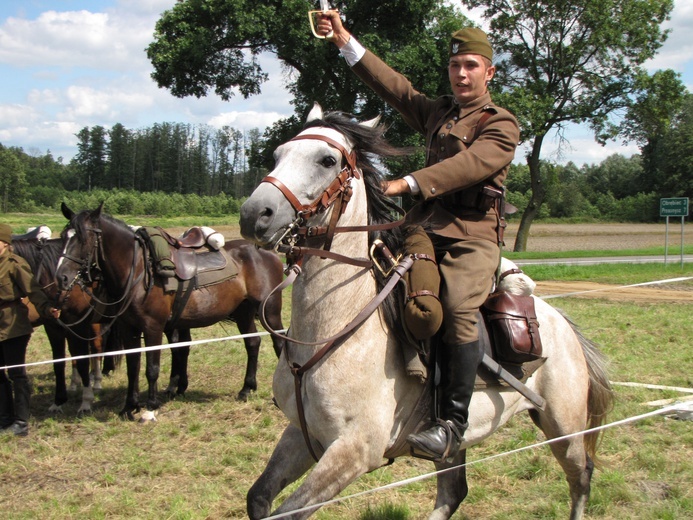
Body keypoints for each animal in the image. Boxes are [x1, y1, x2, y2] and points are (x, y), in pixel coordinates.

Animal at [53, 203, 286, 418]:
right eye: (64, 237)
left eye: (83, 238)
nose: (61, 277)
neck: (138, 270)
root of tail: (268, 254)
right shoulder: (129, 329)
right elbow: (133, 367)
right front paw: (129, 407)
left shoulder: (153, 328)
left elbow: (152, 369)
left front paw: (150, 407)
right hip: (243, 312)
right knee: (252, 343)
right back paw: (246, 389)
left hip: (269, 311)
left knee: (280, 343)